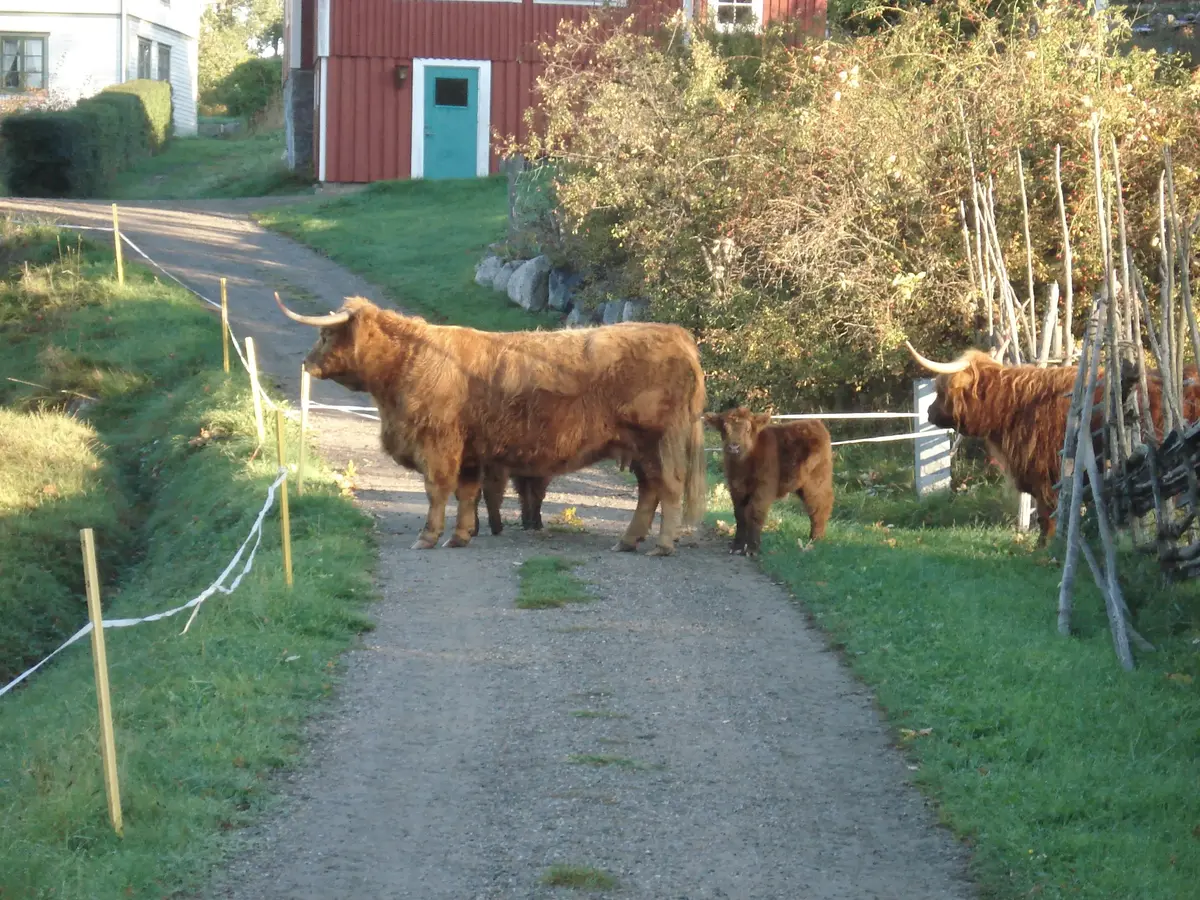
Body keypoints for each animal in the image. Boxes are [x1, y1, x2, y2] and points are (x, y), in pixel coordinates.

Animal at [275, 294, 707, 555]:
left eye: (326, 334)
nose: (306, 363)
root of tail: (676, 335)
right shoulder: (469, 452)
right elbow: (466, 494)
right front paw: (461, 535)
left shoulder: (437, 444)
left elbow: (436, 491)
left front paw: (428, 536)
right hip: (638, 447)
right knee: (649, 490)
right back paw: (628, 541)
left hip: (657, 442)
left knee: (668, 487)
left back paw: (661, 545)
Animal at [703, 407, 834, 556]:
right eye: (724, 428)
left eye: (748, 429)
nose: (733, 447)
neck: (743, 464)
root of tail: (815, 422)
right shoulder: (736, 488)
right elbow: (740, 515)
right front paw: (737, 546)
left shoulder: (763, 489)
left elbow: (755, 514)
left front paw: (752, 549)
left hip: (816, 482)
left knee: (820, 506)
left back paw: (816, 539)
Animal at [905, 341, 1200, 545]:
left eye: (942, 390)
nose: (928, 412)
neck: (1015, 407)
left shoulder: (1047, 470)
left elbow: (1049, 512)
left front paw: (1045, 546)